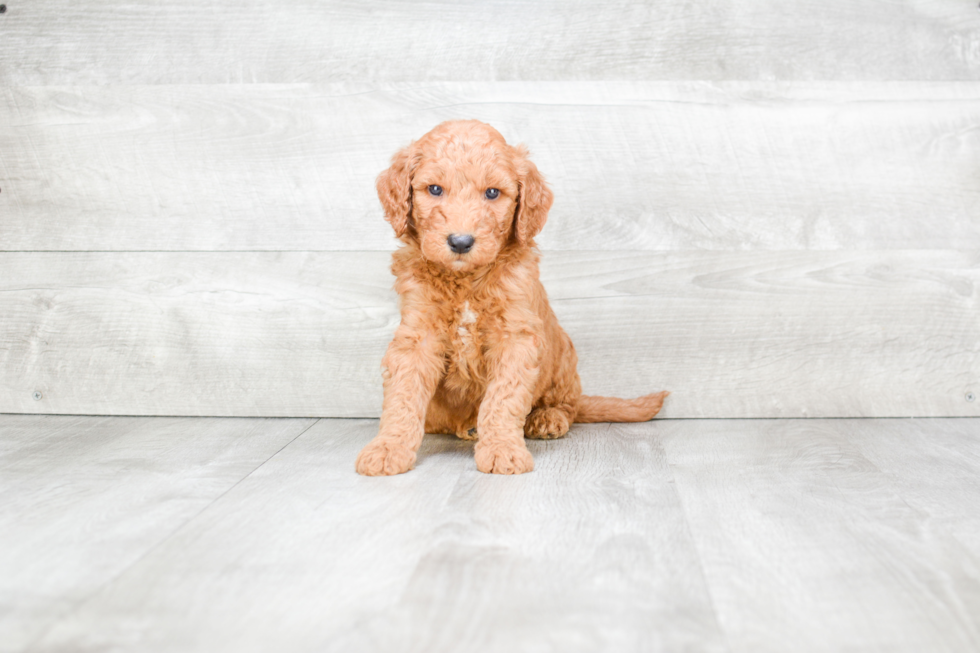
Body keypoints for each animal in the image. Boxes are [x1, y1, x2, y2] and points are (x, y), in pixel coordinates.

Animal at [356, 119, 668, 474]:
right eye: (434, 189)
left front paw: (502, 448)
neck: (465, 280)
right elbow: (403, 396)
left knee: (570, 405)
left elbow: (503, 398)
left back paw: (546, 418)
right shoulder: (416, 335)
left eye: (493, 193)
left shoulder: (516, 337)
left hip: (563, 358)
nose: (461, 242)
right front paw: (387, 448)